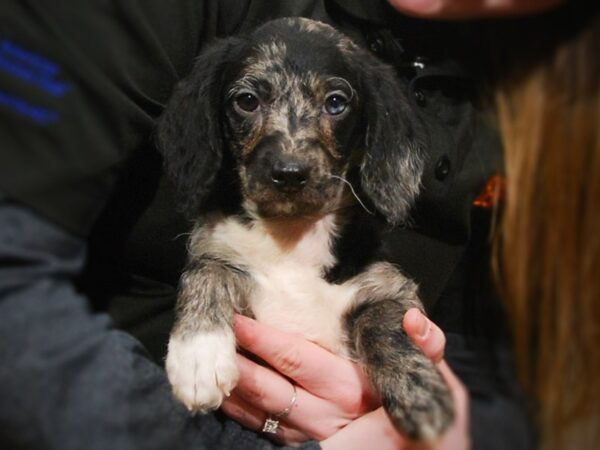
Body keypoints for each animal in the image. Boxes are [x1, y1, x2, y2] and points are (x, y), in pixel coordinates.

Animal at [157, 18, 452, 442]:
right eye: (247, 100)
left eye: (336, 103)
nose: (290, 173)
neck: (291, 237)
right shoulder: (216, 250)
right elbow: (205, 273)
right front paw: (198, 355)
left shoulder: (389, 289)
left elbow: (382, 323)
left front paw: (420, 390)